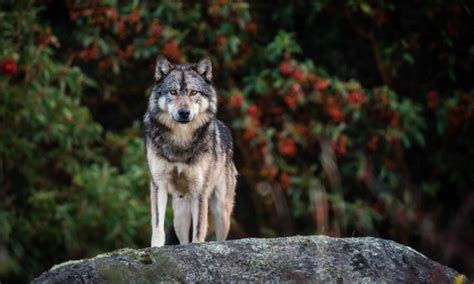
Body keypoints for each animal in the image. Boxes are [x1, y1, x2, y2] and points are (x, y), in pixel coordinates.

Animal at [142, 55, 236, 246]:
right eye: (173, 92)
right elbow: (158, 225)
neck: (181, 140)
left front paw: (198, 246)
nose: (184, 112)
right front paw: (156, 247)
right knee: (183, 239)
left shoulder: (199, 189)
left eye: (193, 93)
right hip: (180, 216)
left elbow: (199, 230)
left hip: (221, 212)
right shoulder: (158, 184)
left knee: (220, 237)